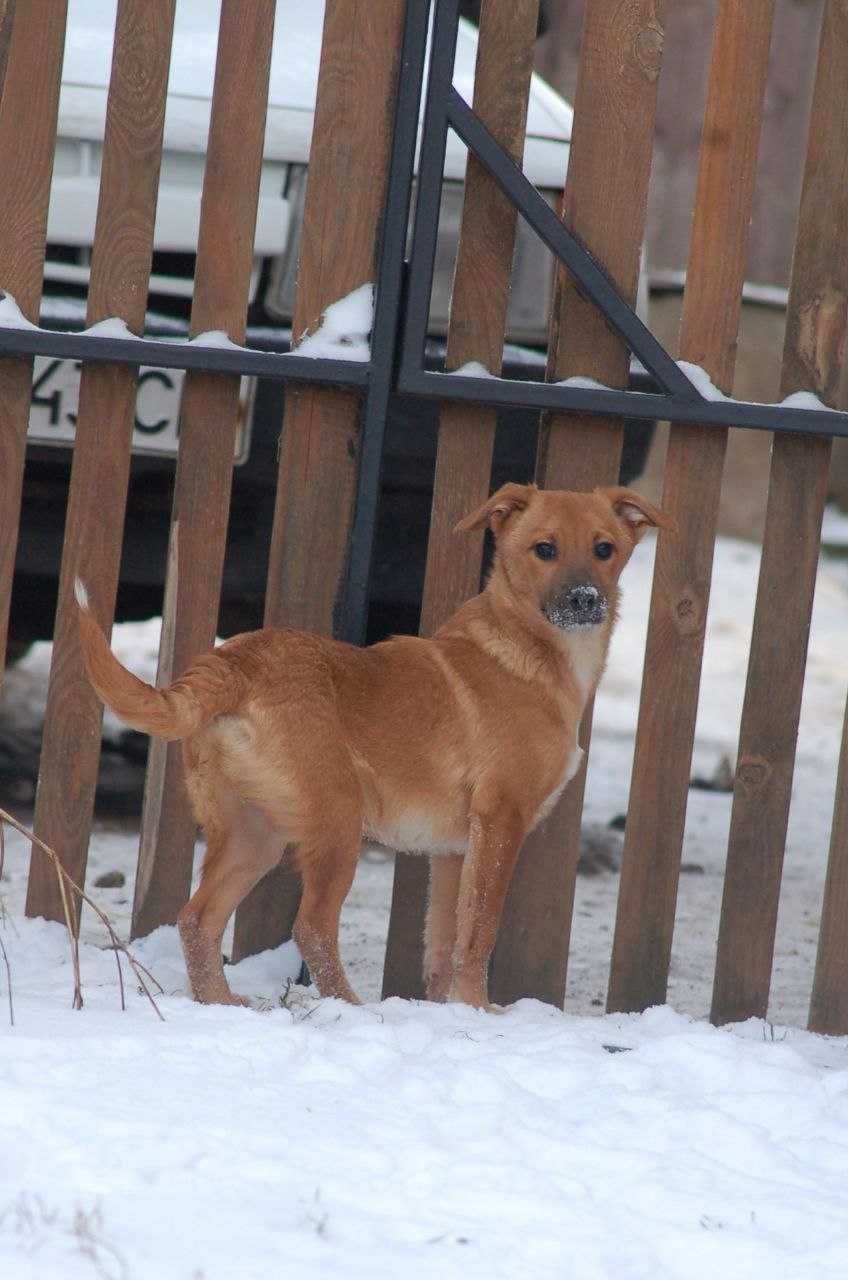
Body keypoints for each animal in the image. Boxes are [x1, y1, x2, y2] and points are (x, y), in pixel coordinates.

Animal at [76, 481, 666, 1008]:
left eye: (604, 549)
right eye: (544, 549)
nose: (585, 600)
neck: (530, 650)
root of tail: (232, 664)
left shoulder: (456, 849)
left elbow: (445, 943)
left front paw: (447, 1013)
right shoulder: (501, 821)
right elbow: (480, 934)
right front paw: (480, 1010)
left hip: (254, 832)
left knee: (197, 919)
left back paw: (221, 1004)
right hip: (337, 820)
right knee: (311, 927)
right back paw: (354, 1010)